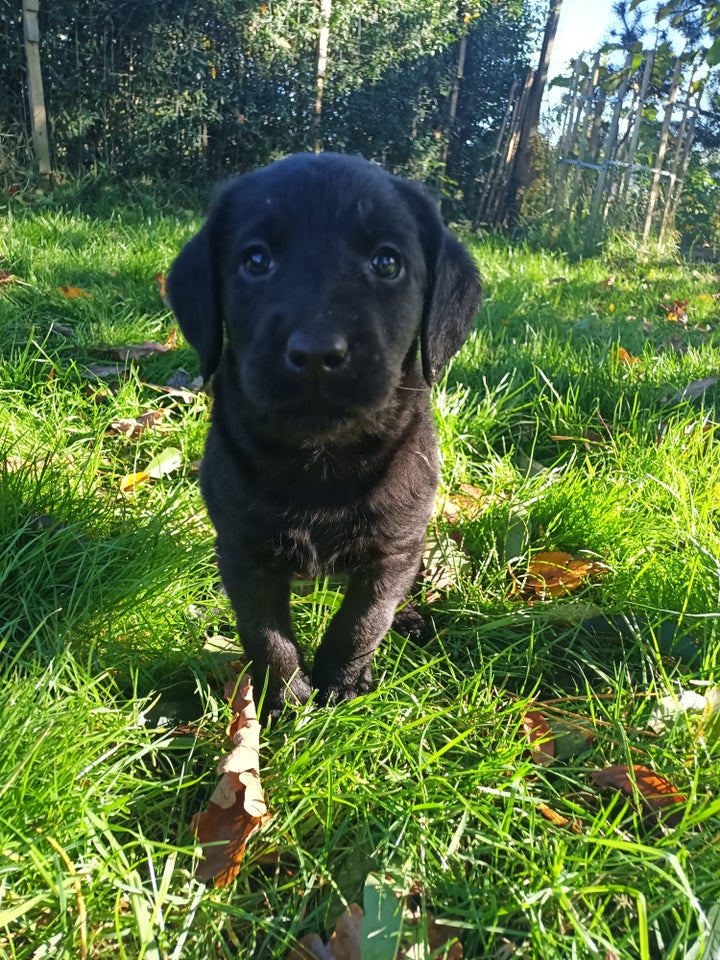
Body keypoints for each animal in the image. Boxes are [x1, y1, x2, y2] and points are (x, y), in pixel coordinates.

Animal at [169, 154, 484, 716]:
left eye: (387, 263)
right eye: (255, 261)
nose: (317, 351)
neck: (321, 456)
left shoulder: (395, 547)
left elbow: (362, 620)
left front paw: (341, 682)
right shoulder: (242, 551)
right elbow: (265, 634)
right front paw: (284, 697)